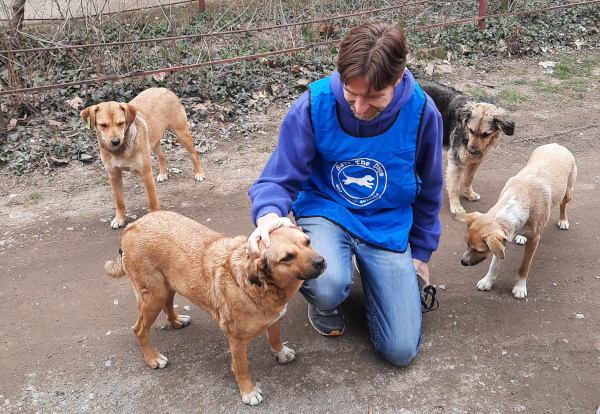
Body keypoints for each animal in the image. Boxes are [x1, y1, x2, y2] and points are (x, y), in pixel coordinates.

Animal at [81, 88, 205, 230]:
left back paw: (199, 173)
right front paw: (119, 219)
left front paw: (155, 217)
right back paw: (163, 173)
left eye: (121, 123)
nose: (116, 141)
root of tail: (163, 89)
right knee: (162, 154)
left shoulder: (146, 174)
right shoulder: (114, 176)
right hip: (153, 140)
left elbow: (152, 201)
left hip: (182, 133)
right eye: (103, 125)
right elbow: (120, 202)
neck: (120, 151)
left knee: (194, 154)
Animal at [105, 212, 326, 406]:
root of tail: (131, 227)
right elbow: (242, 368)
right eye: (287, 257)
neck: (263, 288)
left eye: (307, 241)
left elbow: (275, 337)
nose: (321, 262)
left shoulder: (274, 319)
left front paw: (280, 352)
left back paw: (176, 321)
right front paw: (248, 391)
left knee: (168, 305)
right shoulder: (236, 340)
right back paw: (152, 358)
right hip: (154, 296)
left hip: (168, 286)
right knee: (139, 329)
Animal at [418, 80, 516, 213]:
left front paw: (469, 194)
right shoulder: (456, 160)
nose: (471, 151)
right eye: (471, 130)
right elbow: (454, 186)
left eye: (486, 134)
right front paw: (456, 206)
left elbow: (468, 179)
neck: (465, 132)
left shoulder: (476, 160)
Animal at [454, 144, 576, 300]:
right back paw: (521, 236)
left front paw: (520, 287)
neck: (519, 198)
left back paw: (563, 220)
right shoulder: (501, 242)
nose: (463, 262)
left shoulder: (534, 240)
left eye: (478, 250)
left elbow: (525, 266)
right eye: (467, 244)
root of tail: (556, 145)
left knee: (563, 204)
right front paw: (488, 280)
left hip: (568, 192)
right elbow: (494, 264)